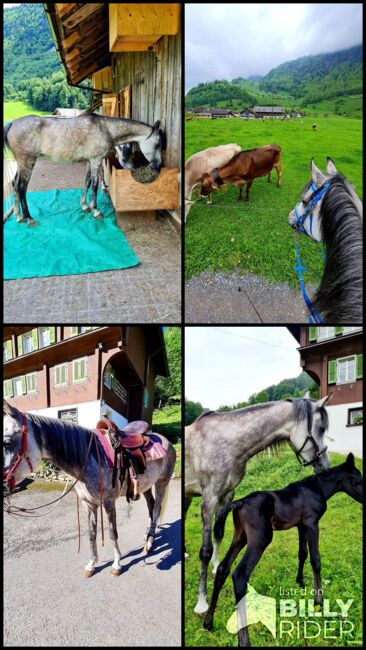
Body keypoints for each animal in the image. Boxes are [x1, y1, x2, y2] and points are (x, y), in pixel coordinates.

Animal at [3, 110, 164, 224]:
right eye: (158, 144)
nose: (158, 166)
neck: (105, 128)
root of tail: (13, 123)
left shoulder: (89, 162)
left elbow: (86, 182)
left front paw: (85, 206)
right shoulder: (96, 161)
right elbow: (94, 185)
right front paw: (96, 210)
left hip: (21, 164)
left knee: (15, 184)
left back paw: (18, 216)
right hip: (27, 163)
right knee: (21, 187)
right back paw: (28, 217)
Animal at [3, 402, 176, 576]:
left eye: (8, 442)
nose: (3, 485)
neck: (88, 458)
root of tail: (166, 441)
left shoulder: (108, 502)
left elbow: (112, 533)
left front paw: (117, 564)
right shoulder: (89, 503)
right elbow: (91, 533)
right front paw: (92, 564)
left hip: (161, 483)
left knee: (156, 510)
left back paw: (150, 543)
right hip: (145, 485)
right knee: (151, 507)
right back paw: (147, 536)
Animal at [184, 394, 330, 612]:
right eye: (320, 428)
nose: (326, 465)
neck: (225, 443)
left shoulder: (226, 496)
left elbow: (219, 534)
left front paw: (216, 567)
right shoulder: (208, 500)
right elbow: (205, 551)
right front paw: (202, 602)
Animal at [204, 454, 362, 644]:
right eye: (356, 480)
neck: (317, 488)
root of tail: (240, 502)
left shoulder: (301, 525)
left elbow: (303, 553)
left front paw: (300, 582)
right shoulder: (312, 523)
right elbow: (315, 559)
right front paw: (318, 601)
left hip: (240, 536)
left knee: (223, 568)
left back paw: (208, 622)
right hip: (260, 539)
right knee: (240, 575)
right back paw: (244, 640)